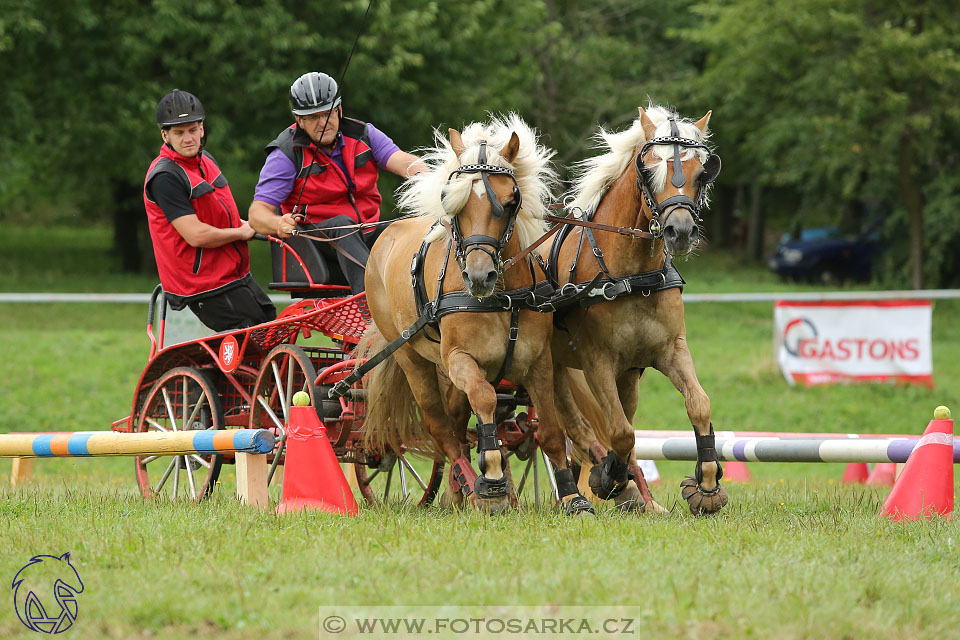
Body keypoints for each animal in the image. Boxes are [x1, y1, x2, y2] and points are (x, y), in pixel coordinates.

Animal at [360, 115, 592, 516]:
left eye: (511, 200)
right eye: (452, 202)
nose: (479, 276)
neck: (501, 298)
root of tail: (387, 235)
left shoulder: (539, 362)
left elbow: (549, 429)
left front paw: (572, 496)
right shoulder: (460, 359)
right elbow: (484, 399)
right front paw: (494, 476)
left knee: (455, 425)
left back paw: (458, 493)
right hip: (413, 360)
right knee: (442, 431)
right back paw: (473, 486)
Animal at [544, 105, 724, 516]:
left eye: (700, 173)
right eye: (649, 170)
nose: (679, 232)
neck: (633, 276)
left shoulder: (669, 351)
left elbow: (699, 405)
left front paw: (706, 483)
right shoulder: (596, 361)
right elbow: (621, 431)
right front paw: (607, 477)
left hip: (624, 375)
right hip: (549, 365)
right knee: (571, 424)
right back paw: (584, 488)